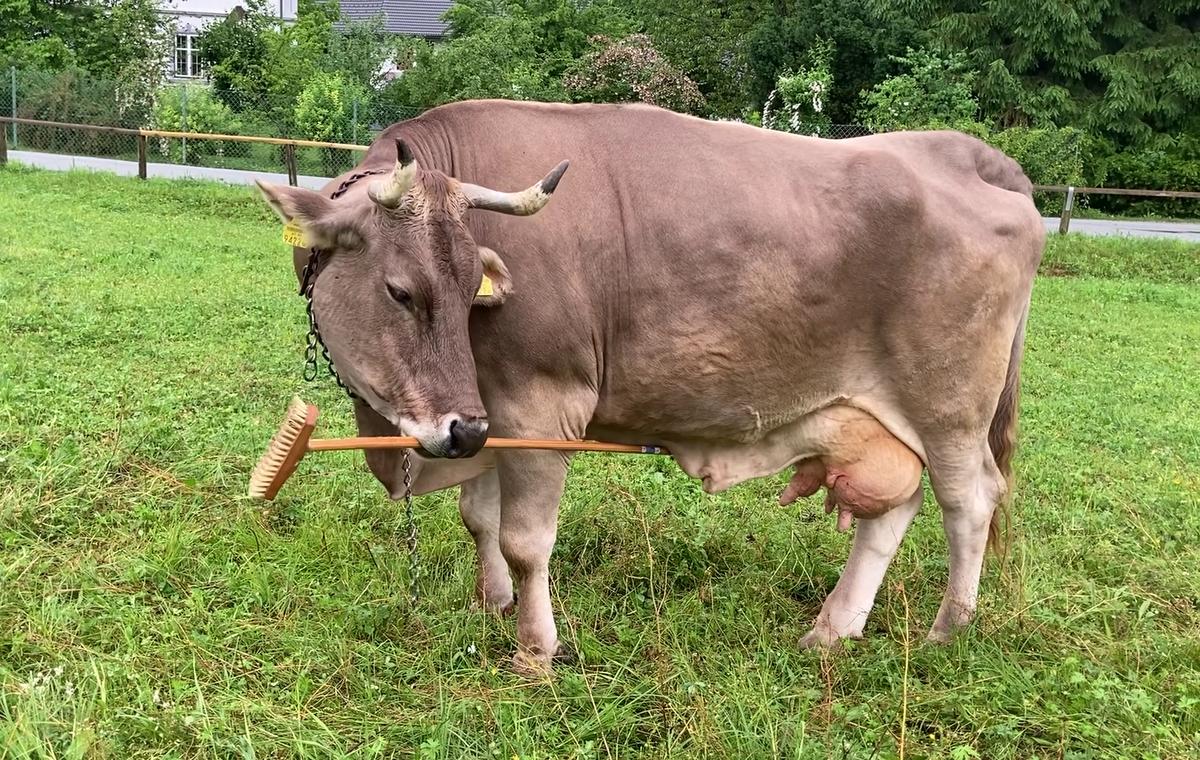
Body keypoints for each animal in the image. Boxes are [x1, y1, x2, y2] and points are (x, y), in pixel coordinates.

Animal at [255, 100, 1044, 675]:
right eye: (402, 291)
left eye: (465, 287)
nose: (461, 431)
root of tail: (969, 155)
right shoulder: (484, 411)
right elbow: (478, 517)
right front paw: (493, 604)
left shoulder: (541, 405)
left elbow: (525, 540)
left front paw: (536, 649)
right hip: (878, 417)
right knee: (893, 508)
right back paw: (834, 627)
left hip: (949, 409)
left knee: (969, 503)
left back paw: (948, 628)